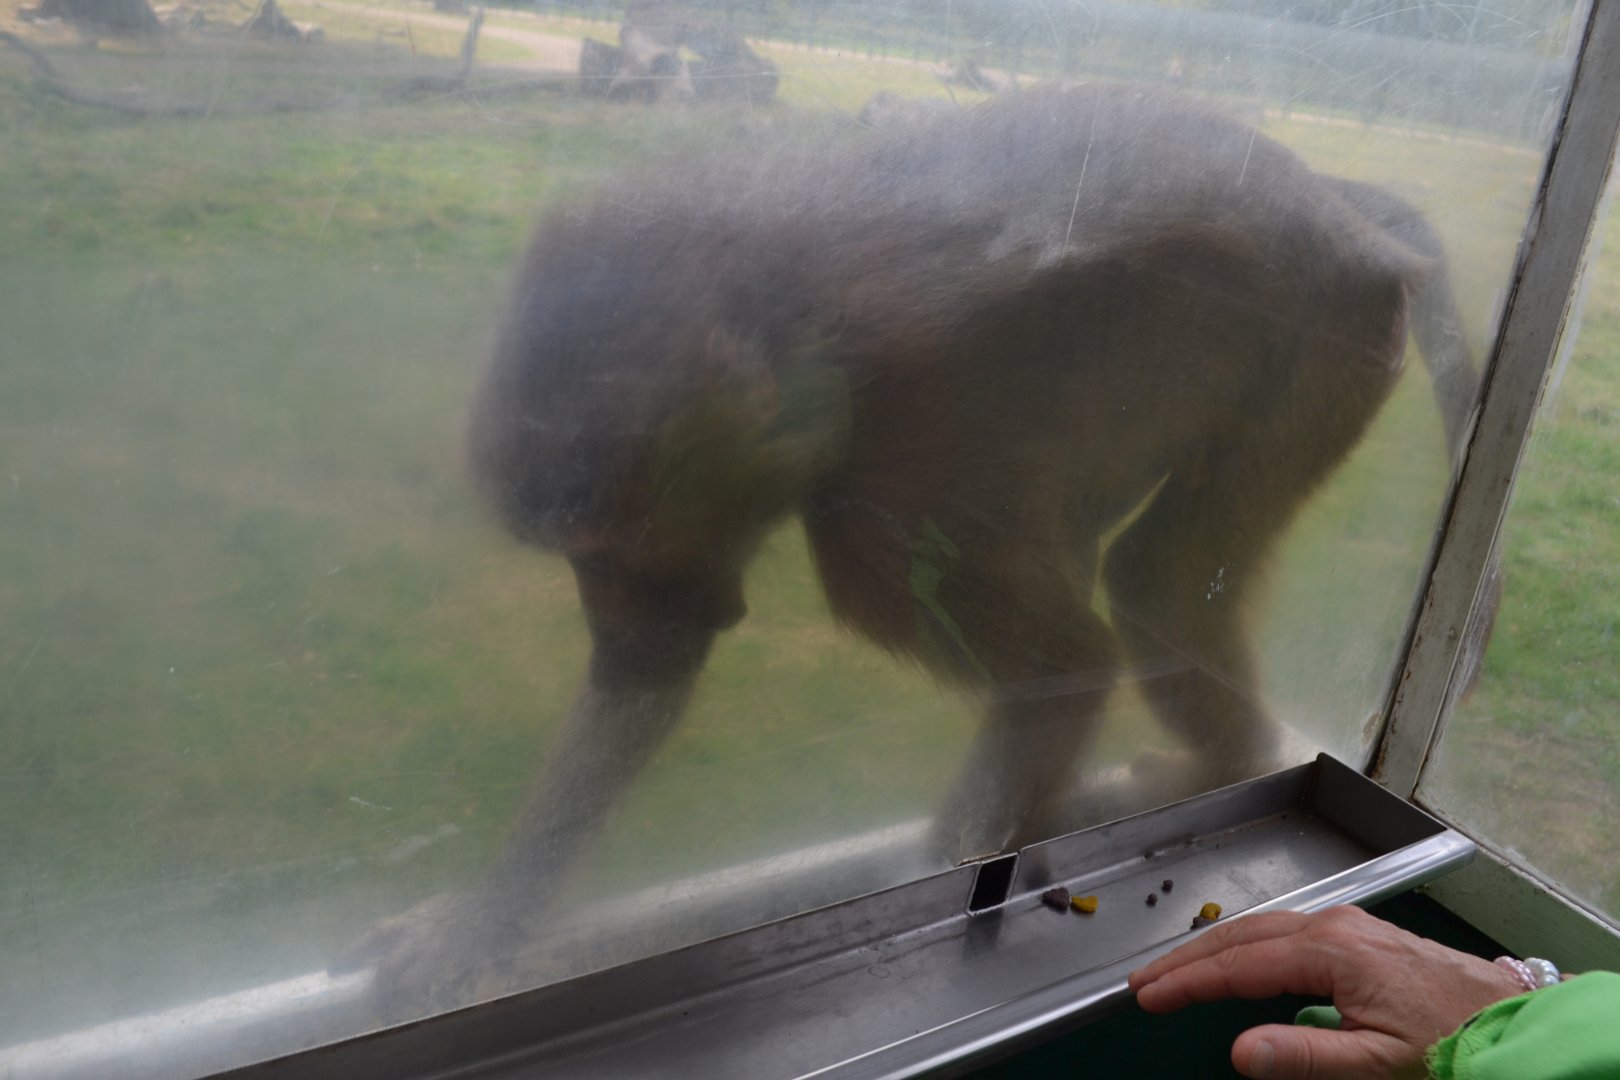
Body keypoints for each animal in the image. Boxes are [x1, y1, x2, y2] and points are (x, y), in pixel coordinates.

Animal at [347, 84, 1482, 1013]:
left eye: (600, 540)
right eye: (572, 553)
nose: (612, 621)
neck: (799, 324)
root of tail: (1340, 208)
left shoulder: (892, 503)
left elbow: (1066, 670)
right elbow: (654, 687)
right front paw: (482, 924)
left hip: (1327, 337)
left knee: (1154, 589)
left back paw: (1213, 768)